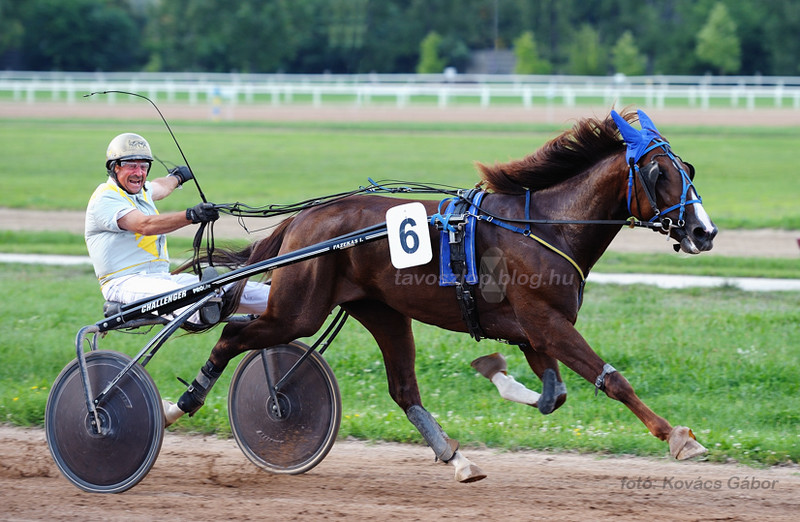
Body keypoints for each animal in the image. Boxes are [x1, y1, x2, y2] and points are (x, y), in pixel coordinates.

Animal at [172, 108, 716, 480]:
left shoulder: (533, 331)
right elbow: (612, 380)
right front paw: (678, 437)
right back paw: (186, 402)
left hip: (383, 312)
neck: (545, 225)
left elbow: (552, 395)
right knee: (233, 336)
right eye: (660, 174)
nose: (704, 232)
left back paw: (456, 458)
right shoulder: (546, 323)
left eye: (688, 169)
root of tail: (305, 218)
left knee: (402, 389)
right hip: (298, 310)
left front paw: (495, 372)